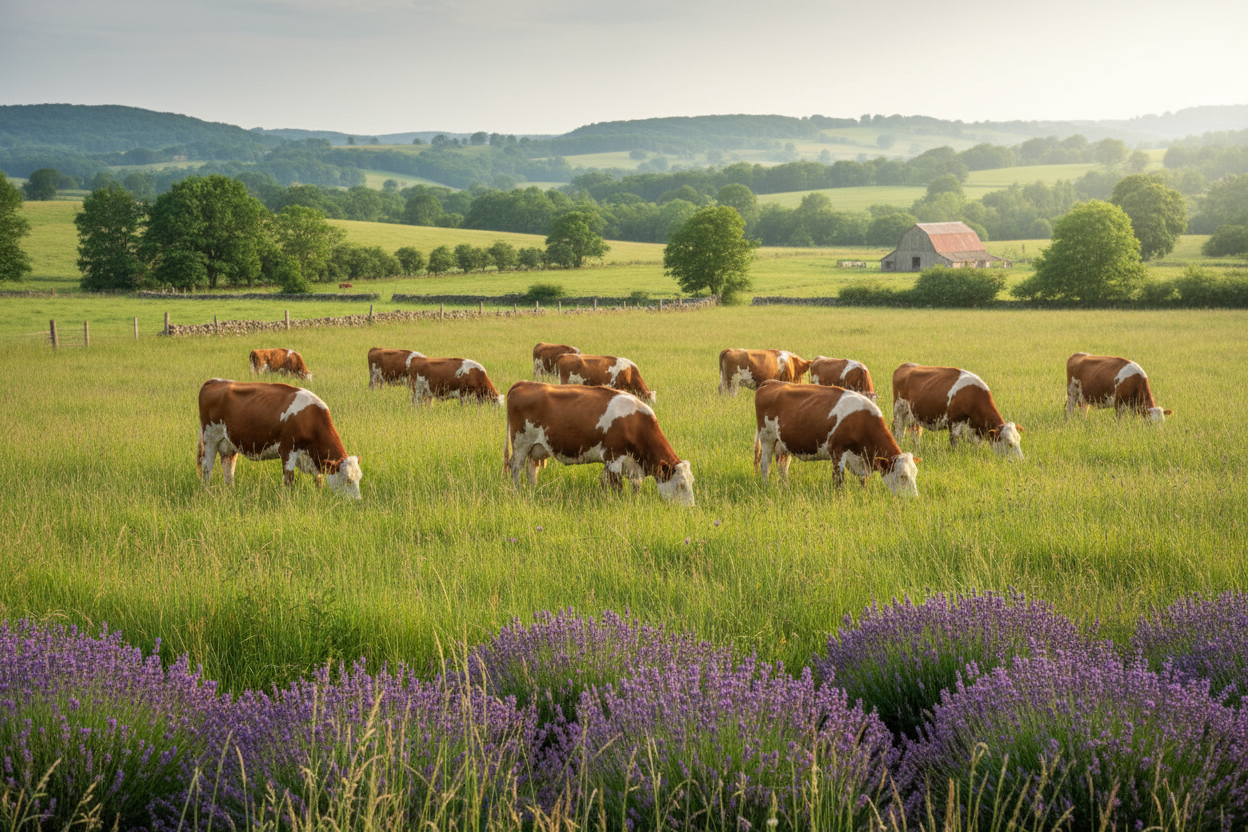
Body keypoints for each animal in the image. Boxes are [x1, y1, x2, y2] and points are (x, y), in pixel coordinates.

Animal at [196, 379, 362, 499]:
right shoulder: (287, 449)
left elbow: (318, 480)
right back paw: (206, 491)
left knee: (228, 469)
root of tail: (215, 381)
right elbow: (289, 480)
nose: (357, 501)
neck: (310, 418)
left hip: (228, 445)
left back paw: (231, 490)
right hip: (210, 439)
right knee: (206, 468)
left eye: (359, 478)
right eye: (347, 480)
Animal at [503, 381, 694, 506]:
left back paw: (532, 490)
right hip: (520, 444)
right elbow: (617, 485)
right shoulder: (614, 457)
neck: (635, 422)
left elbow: (609, 481)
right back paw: (518, 491)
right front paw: (618, 503)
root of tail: (524, 383)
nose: (690, 509)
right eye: (681, 484)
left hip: (536, 447)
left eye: (691, 482)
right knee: (516, 469)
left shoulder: (616, 461)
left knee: (531, 469)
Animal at [753, 380, 919, 496]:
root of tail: (772, 382)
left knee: (782, 466)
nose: (914, 498)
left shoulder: (860, 460)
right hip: (767, 437)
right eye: (903, 476)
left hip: (783, 444)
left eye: (915, 474)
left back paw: (786, 487)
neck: (861, 420)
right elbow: (839, 479)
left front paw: (863, 494)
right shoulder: (837, 450)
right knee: (765, 465)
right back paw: (766, 486)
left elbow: (863, 480)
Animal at [891, 363, 1024, 459]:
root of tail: (905, 365)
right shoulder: (954, 423)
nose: (1021, 461)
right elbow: (954, 443)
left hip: (914, 415)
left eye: (1019, 440)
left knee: (915, 433)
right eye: (1010, 443)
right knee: (898, 432)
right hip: (899, 411)